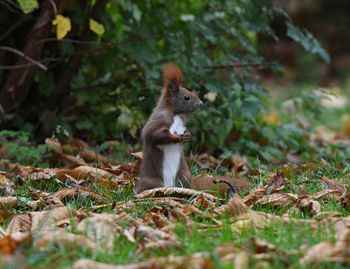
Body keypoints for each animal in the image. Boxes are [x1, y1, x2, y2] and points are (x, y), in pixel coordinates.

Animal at [133, 62, 252, 194]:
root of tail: (169, 187)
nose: (201, 103)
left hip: (183, 176)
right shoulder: (159, 120)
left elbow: (185, 130)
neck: (176, 114)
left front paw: (187, 135)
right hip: (152, 181)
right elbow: (154, 134)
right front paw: (176, 138)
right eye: (186, 97)